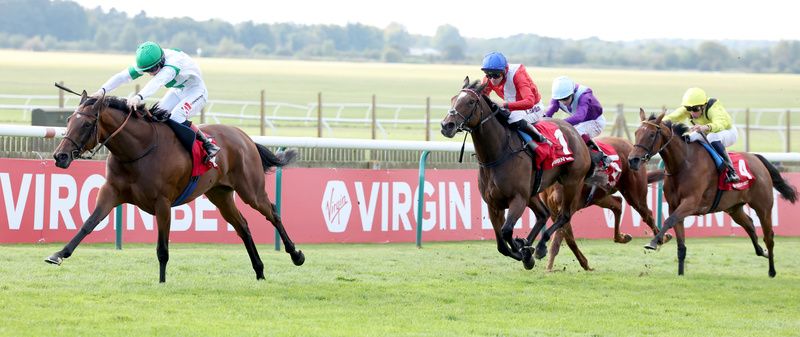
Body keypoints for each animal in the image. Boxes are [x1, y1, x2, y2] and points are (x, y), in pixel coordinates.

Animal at [47, 90, 304, 282]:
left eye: (86, 124)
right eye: (68, 120)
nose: (60, 156)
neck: (138, 149)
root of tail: (245, 136)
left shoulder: (163, 203)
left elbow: (162, 248)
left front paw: (161, 282)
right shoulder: (111, 192)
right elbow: (88, 224)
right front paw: (59, 254)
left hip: (251, 190)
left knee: (272, 212)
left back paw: (295, 255)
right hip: (220, 194)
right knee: (242, 226)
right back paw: (259, 271)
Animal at [438, 77, 592, 270]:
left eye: (471, 102)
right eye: (453, 99)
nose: (447, 126)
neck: (498, 153)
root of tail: (576, 133)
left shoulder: (518, 199)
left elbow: (506, 231)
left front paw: (523, 251)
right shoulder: (493, 204)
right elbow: (501, 245)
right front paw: (524, 251)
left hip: (571, 183)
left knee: (563, 215)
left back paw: (540, 246)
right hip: (533, 193)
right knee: (543, 214)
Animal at [544, 136, 668, 270]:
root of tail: (630, 144)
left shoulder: (566, 209)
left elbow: (562, 239)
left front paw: (549, 266)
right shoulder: (554, 212)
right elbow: (566, 238)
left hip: (634, 194)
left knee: (647, 214)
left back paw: (662, 238)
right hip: (599, 196)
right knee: (618, 203)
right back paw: (622, 237)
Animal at [628, 109, 796, 276]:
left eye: (651, 134)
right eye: (636, 132)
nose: (633, 160)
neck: (683, 164)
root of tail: (757, 158)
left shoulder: (691, 203)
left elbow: (669, 220)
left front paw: (653, 242)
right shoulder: (673, 205)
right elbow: (680, 244)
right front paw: (680, 274)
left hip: (763, 207)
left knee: (769, 236)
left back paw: (772, 270)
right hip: (734, 208)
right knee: (749, 224)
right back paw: (762, 252)